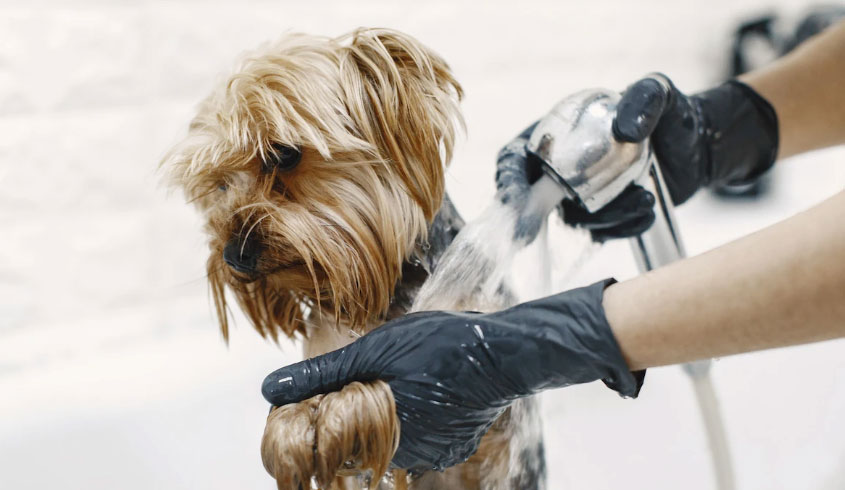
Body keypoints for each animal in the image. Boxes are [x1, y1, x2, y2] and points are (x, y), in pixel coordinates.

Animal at [164, 27, 544, 490]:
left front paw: (341, 416)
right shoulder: (322, 349)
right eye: (220, 184)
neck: (370, 301)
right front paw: (291, 430)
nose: (233, 255)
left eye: (284, 154)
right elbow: (293, 406)